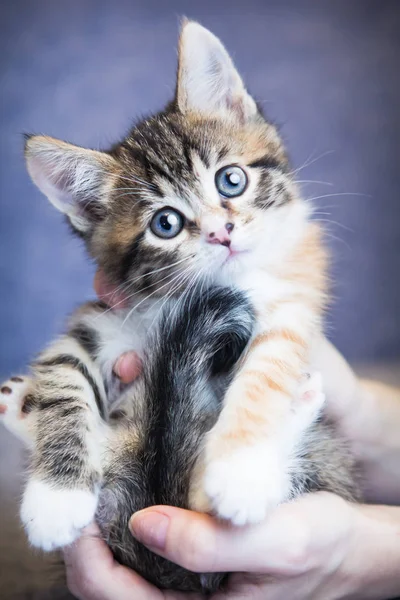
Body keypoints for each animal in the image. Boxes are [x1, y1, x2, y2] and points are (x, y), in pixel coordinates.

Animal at [0, 19, 358, 572]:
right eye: (164, 223)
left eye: (231, 180)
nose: (221, 233)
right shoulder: (102, 318)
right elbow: (64, 377)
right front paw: (55, 498)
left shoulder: (293, 299)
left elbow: (270, 365)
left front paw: (241, 471)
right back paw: (23, 412)